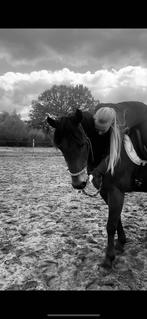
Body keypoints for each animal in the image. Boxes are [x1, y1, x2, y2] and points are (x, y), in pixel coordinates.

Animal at [46, 102, 147, 270]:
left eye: (82, 143)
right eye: (60, 147)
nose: (78, 183)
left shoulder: (116, 192)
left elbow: (111, 225)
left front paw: (108, 258)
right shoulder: (105, 192)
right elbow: (117, 219)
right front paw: (120, 243)